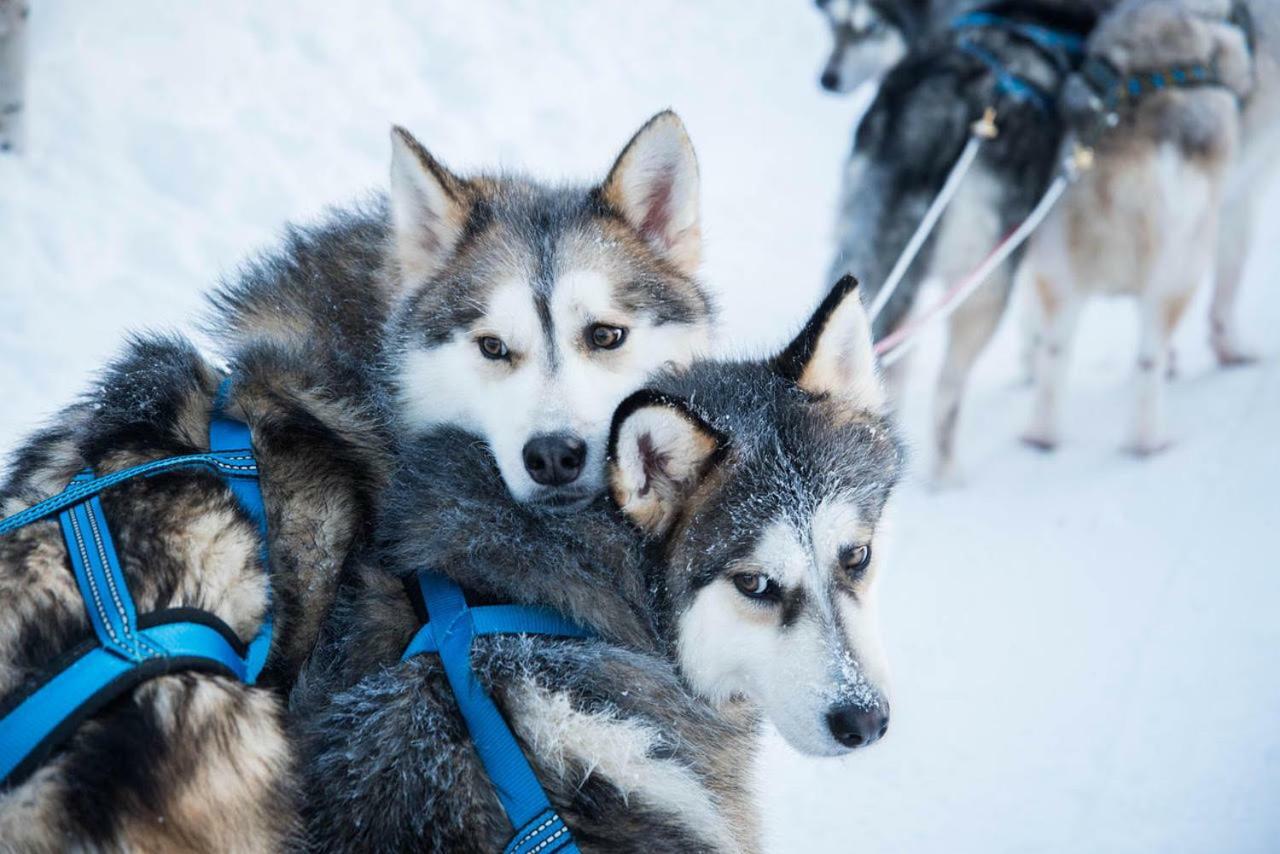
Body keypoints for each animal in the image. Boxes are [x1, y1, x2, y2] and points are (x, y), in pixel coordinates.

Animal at [1024, 0, 1254, 453]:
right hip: (1181, 270)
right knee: (1149, 358)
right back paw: (1149, 440)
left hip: (1057, 273)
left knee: (1054, 353)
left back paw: (1042, 436)